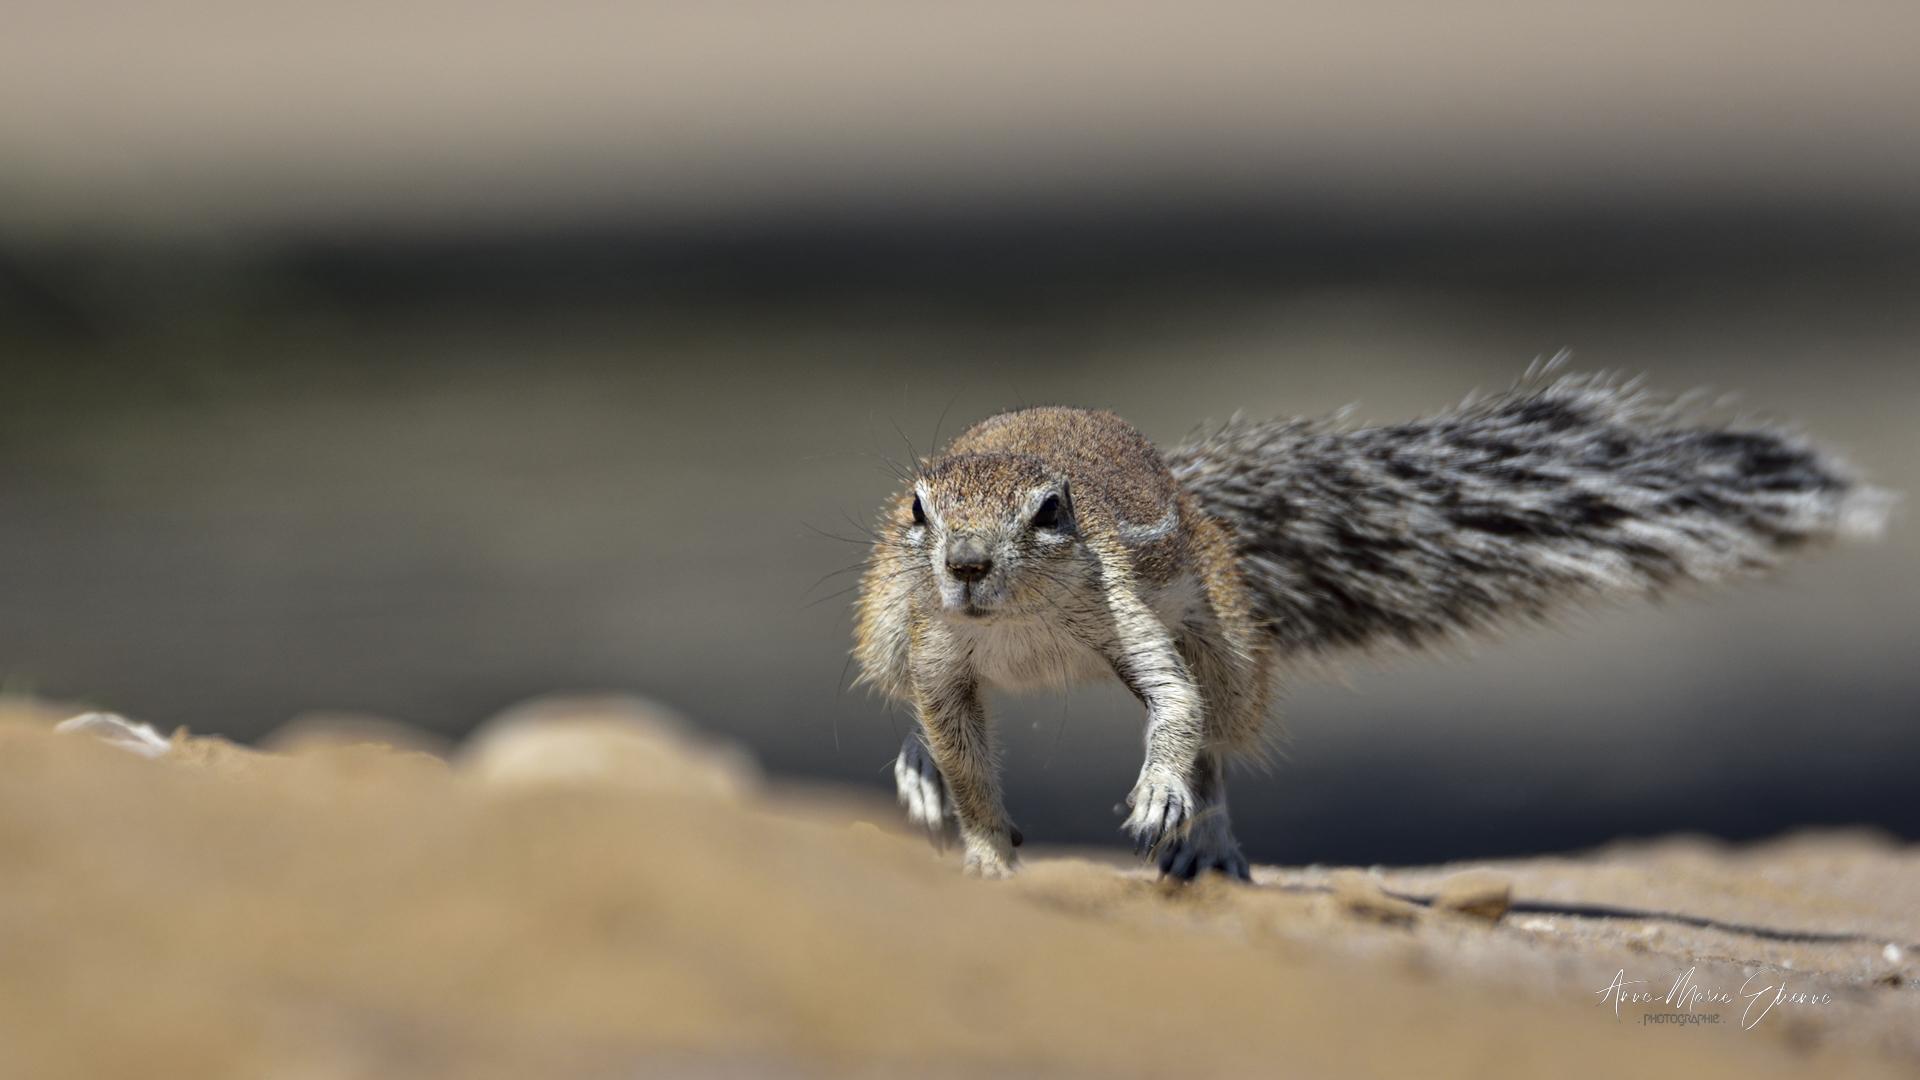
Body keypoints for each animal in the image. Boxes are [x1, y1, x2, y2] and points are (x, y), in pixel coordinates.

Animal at [852, 361, 1889, 876]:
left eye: (1050, 513)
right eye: (920, 510)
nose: (966, 566)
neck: (1017, 632)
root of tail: (1195, 491)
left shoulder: (1124, 614)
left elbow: (1175, 707)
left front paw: (1156, 795)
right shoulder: (939, 653)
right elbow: (960, 750)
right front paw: (984, 849)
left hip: (1227, 635)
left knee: (1218, 727)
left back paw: (1206, 840)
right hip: (886, 625)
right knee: (914, 708)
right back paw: (918, 772)